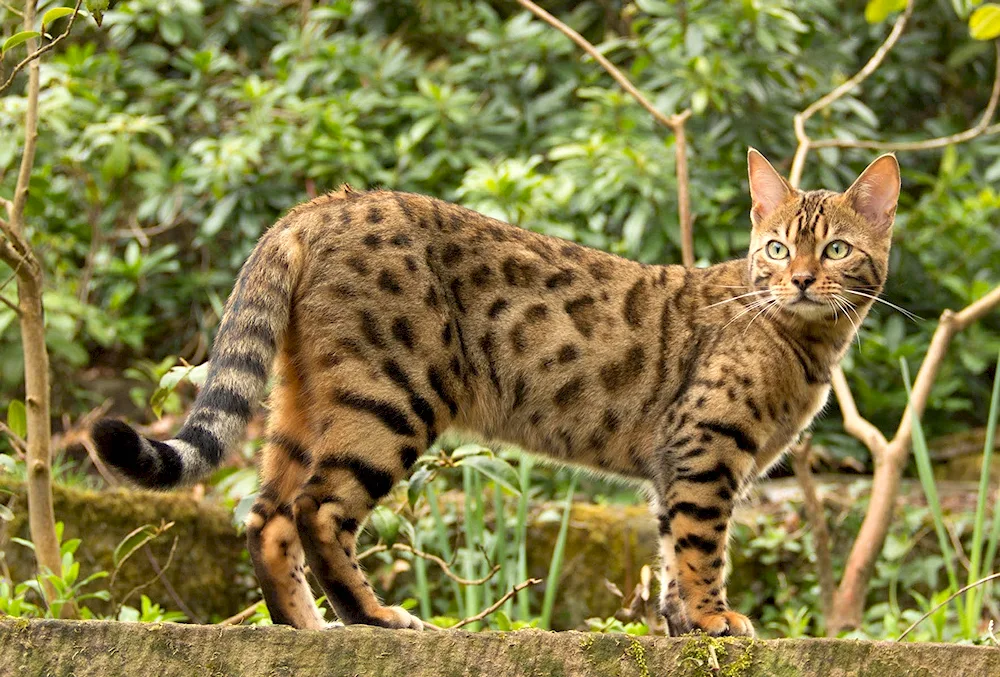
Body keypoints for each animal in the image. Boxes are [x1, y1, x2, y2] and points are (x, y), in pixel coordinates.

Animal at [94, 151, 904, 636]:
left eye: (836, 249)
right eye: (777, 247)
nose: (801, 279)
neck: (799, 340)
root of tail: (325, 203)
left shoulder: (676, 465)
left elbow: (672, 552)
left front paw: (681, 626)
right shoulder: (706, 447)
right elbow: (703, 548)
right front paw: (713, 622)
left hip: (304, 401)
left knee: (267, 515)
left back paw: (307, 629)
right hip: (390, 397)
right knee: (316, 508)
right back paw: (374, 617)